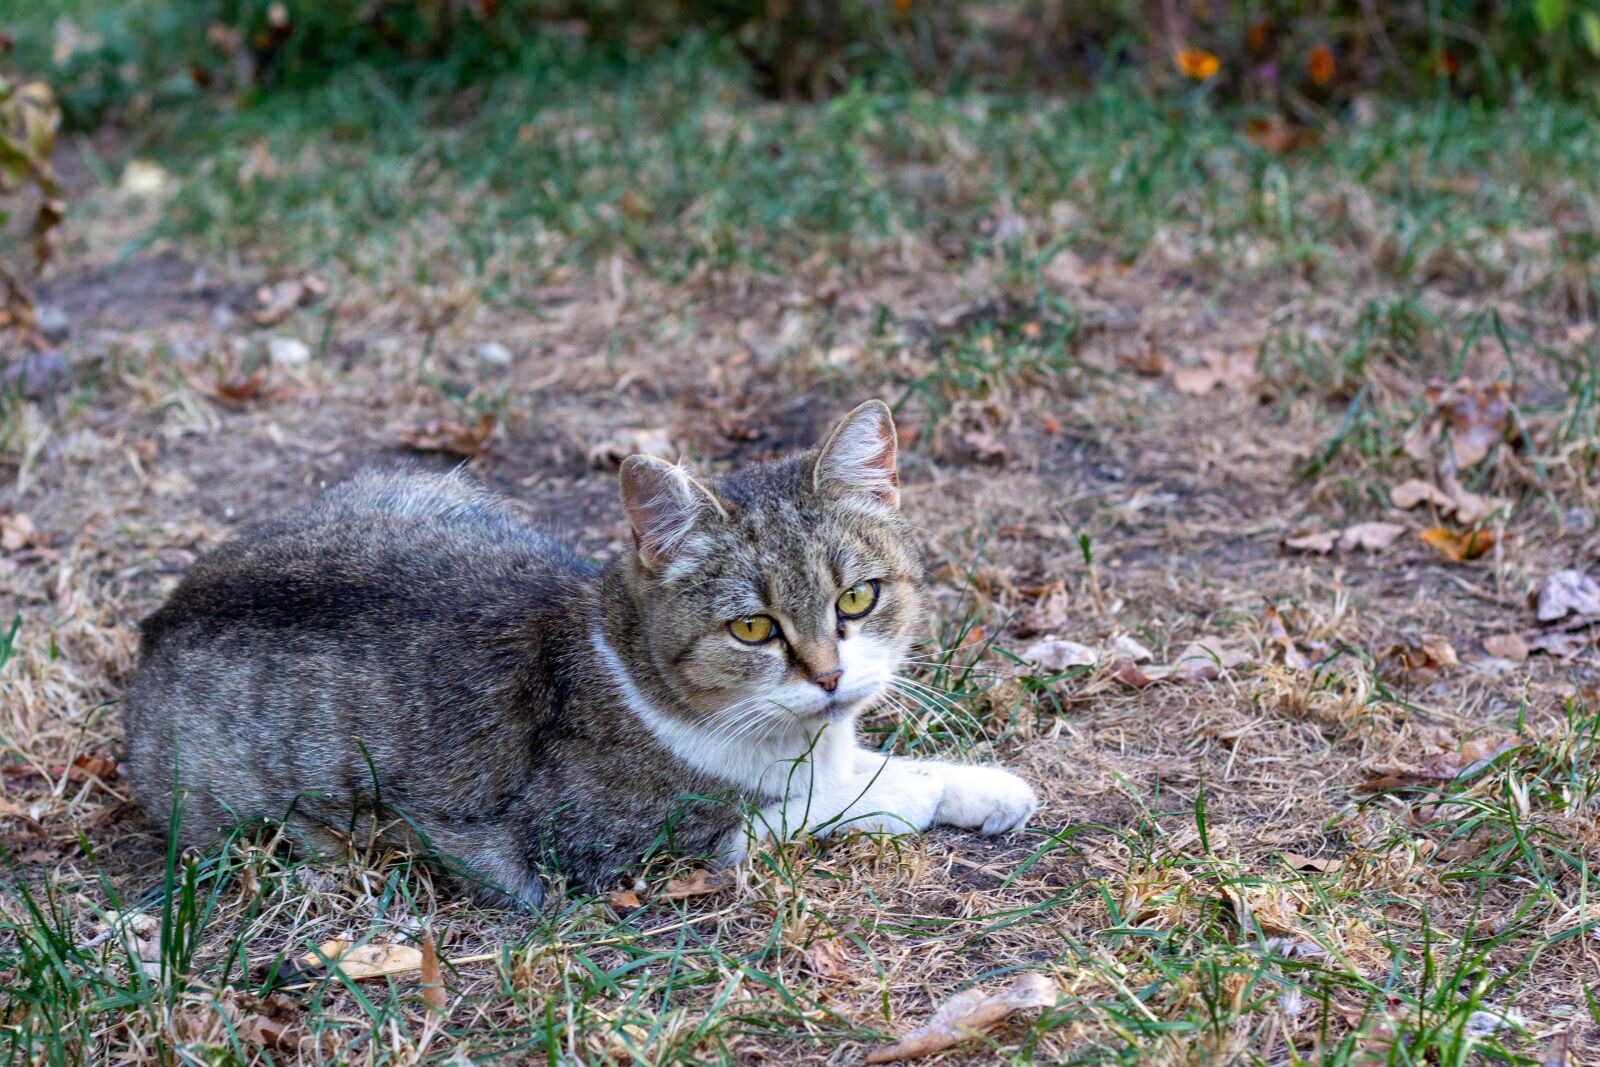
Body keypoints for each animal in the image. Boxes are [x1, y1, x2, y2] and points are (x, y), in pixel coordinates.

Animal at [118, 403, 1030, 908]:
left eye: (857, 599)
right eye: (752, 630)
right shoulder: (614, 845)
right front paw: (914, 793)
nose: (832, 675)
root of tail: (160, 619)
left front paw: (984, 785)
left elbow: (885, 764)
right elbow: (837, 799)